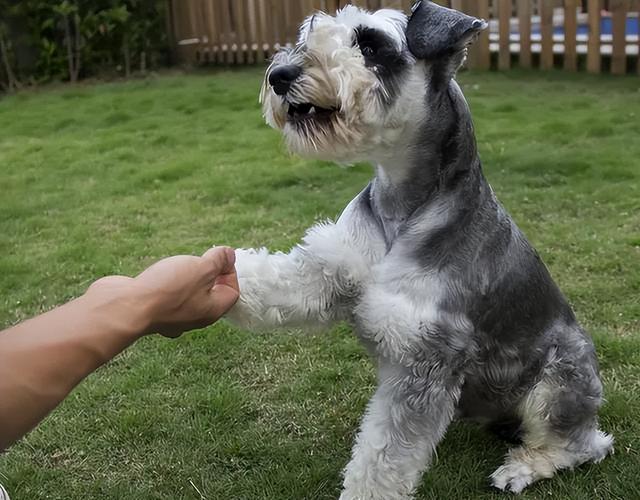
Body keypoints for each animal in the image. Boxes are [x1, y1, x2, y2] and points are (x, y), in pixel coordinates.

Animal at [226, 1, 616, 498]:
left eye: (371, 46)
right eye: (312, 31)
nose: (280, 74)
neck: (401, 206)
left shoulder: (425, 360)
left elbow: (383, 457)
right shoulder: (328, 272)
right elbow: (274, 281)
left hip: (560, 380)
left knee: (583, 444)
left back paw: (522, 467)